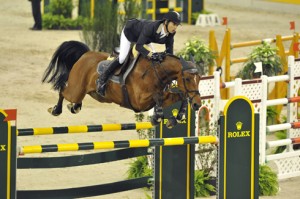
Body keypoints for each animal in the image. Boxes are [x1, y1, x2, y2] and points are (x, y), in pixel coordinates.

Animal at [42, 40, 202, 128]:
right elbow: (158, 98)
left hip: (95, 95)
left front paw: (176, 118)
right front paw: (157, 117)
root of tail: (85, 54)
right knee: (63, 90)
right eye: (188, 79)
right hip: (75, 90)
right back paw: (56, 109)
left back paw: (74, 107)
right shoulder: (139, 102)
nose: (197, 105)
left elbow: (180, 96)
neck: (155, 72)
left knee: (74, 97)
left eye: (199, 79)